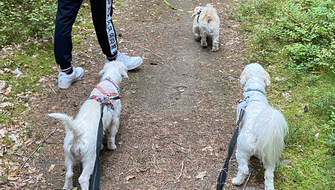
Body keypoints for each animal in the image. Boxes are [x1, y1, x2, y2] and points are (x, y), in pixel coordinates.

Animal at [48, 61, 129, 190]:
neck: (108, 84)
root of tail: (77, 133)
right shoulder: (115, 119)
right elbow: (112, 135)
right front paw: (112, 146)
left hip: (68, 155)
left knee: (69, 173)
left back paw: (67, 186)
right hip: (90, 159)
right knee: (83, 178)